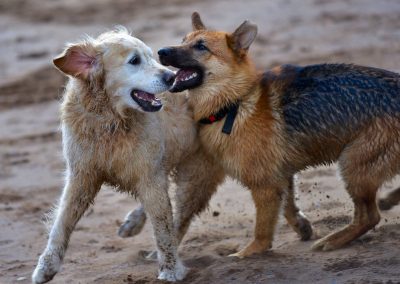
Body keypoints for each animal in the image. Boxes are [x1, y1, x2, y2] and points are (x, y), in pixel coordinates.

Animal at [31, 28, 225, 284]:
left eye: (151, 56)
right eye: (134, 61)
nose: (171, 78)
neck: (110, 121)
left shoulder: (149, 175)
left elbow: (163, 227)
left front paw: (171, 269)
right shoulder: (82, 174)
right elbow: (61, 224)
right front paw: (46, 267)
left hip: (195, 176)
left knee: (181, 217)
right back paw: (132, 223)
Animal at [158, 12, 400, 258]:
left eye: (201, 46)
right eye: (183, 40)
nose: (161, 51)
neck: (235, 102)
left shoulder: (265, 185)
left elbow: (262, 232)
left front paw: (247, 254)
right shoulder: (282, 176)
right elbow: (288, 207)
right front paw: (302, 227)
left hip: (352, 166)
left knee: (369, 217)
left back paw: (333, 240)